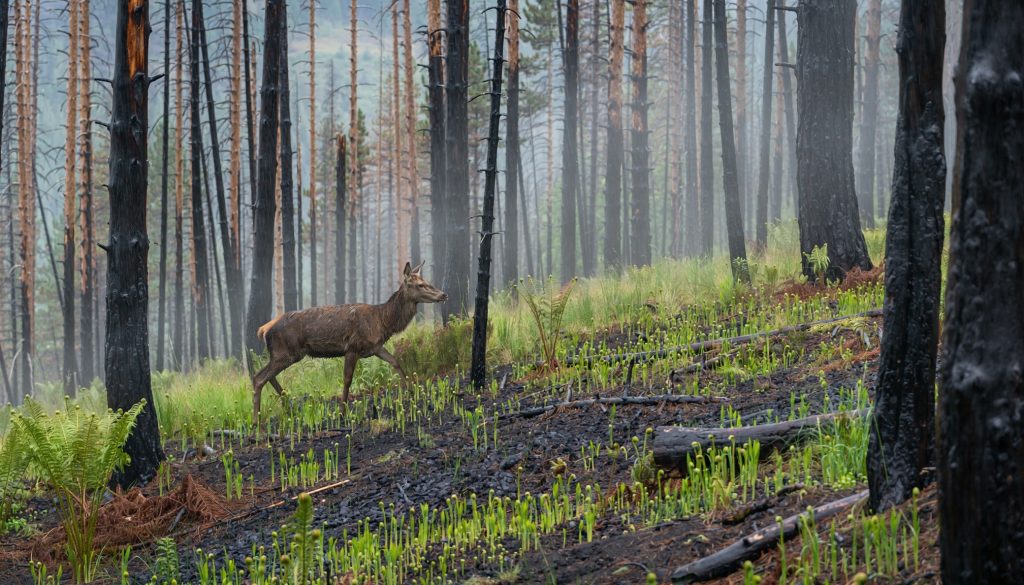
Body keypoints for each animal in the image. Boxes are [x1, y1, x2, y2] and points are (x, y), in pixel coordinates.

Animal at [251, 261, 447, 423]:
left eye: (426, 280)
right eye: (420, 284)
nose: (443, 294)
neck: (383, 321)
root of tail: (264, 330)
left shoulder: (376, 348)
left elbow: (395, 362)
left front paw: (414, 394)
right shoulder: (353, 348)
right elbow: (347, 379)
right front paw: (342, 412)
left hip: (283, 354)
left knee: (267, 376)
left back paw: (290, 407)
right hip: (286, 352)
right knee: (258, 378)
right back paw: (256, 422)